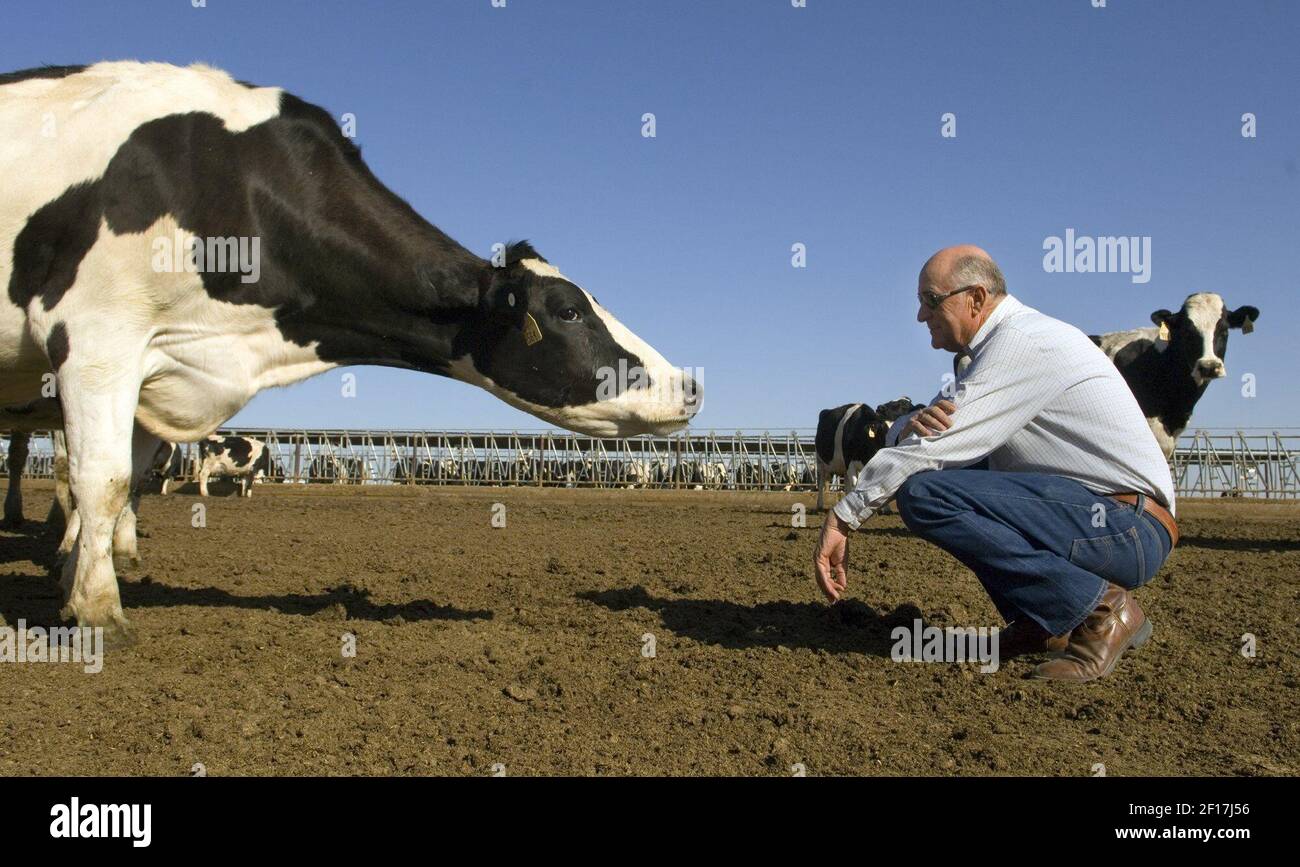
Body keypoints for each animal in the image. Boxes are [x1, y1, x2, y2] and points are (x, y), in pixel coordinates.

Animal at [0, 62, 700, 643]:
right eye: (568, 310)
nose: (691, 385)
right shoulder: (97, 341)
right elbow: (102, 479)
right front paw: (98, 610)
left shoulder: (162, 379)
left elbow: (128, 481)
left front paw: (79, 578)